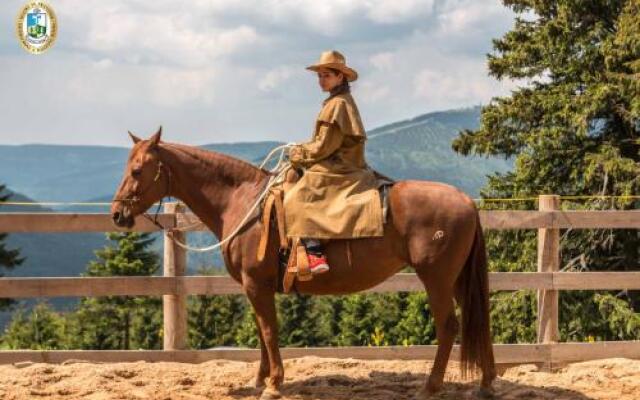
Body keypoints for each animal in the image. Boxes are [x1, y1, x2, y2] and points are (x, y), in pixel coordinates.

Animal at [112, 127, 498, 396]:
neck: (243, 202)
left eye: (137, 170)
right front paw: (261, 379)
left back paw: (430, 387)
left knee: (449, 326)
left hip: (436, 278)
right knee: (479, 320)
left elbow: (269, 330)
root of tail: (466, 201)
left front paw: (274, 384)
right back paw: (486, 383)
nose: (117, 214)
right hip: (459, 279)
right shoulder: (256, 288)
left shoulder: (256, 284)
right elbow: (261, 329)